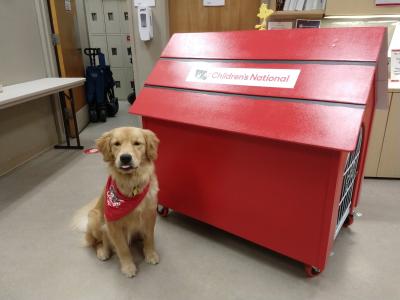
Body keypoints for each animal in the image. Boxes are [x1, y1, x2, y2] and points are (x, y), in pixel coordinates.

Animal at [72, 126, 160, 276]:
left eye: (137, 143)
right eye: (116, 144)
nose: (125, 158)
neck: (131, 185)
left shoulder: (150, 215)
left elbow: (149, 238)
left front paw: (150, 254)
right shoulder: (113, 225)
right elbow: (123, 248)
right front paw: (128, 267)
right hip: (95, 218)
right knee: (97, 241)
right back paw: (103, 251)